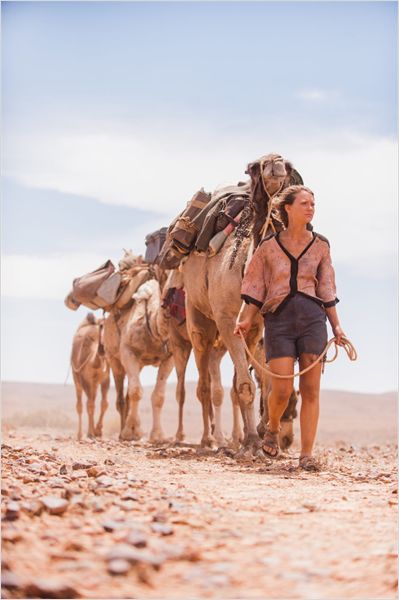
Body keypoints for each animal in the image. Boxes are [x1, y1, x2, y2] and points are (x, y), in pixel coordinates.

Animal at [182, 152, 300, 452]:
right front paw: (253, 442)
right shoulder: (226, 320)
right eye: (253, 167)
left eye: (289, 166)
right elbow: (245, 387)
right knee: (203, 383)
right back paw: (208, 440)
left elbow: (247, 385)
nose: (275, 163)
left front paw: (251, 439)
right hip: (197, 318)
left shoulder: (256, 329)